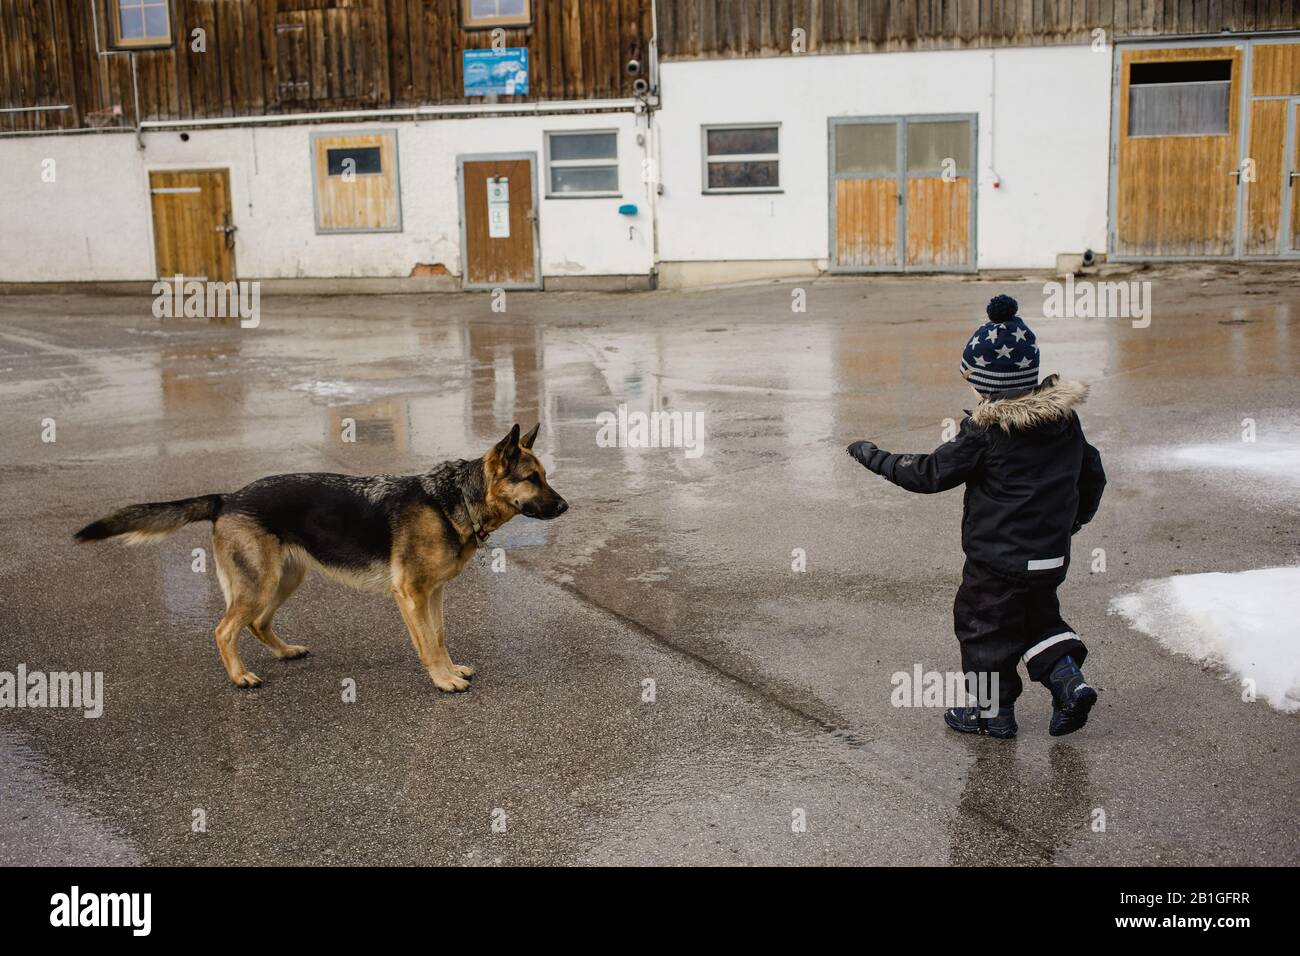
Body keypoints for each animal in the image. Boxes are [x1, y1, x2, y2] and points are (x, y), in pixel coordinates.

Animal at [76, 424, 564, 686]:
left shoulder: (434, 593)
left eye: (545, 476)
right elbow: (427, 642)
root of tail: (227, 498)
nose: (565, 506)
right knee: (224, 629)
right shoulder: (411, 594)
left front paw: (451, 669)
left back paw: (284, 651)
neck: (456, 497)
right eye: (532, 479)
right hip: (260, 583)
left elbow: (440, 637)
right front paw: (443, 681)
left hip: (285, 579)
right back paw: (239, 677)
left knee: (256, 623)